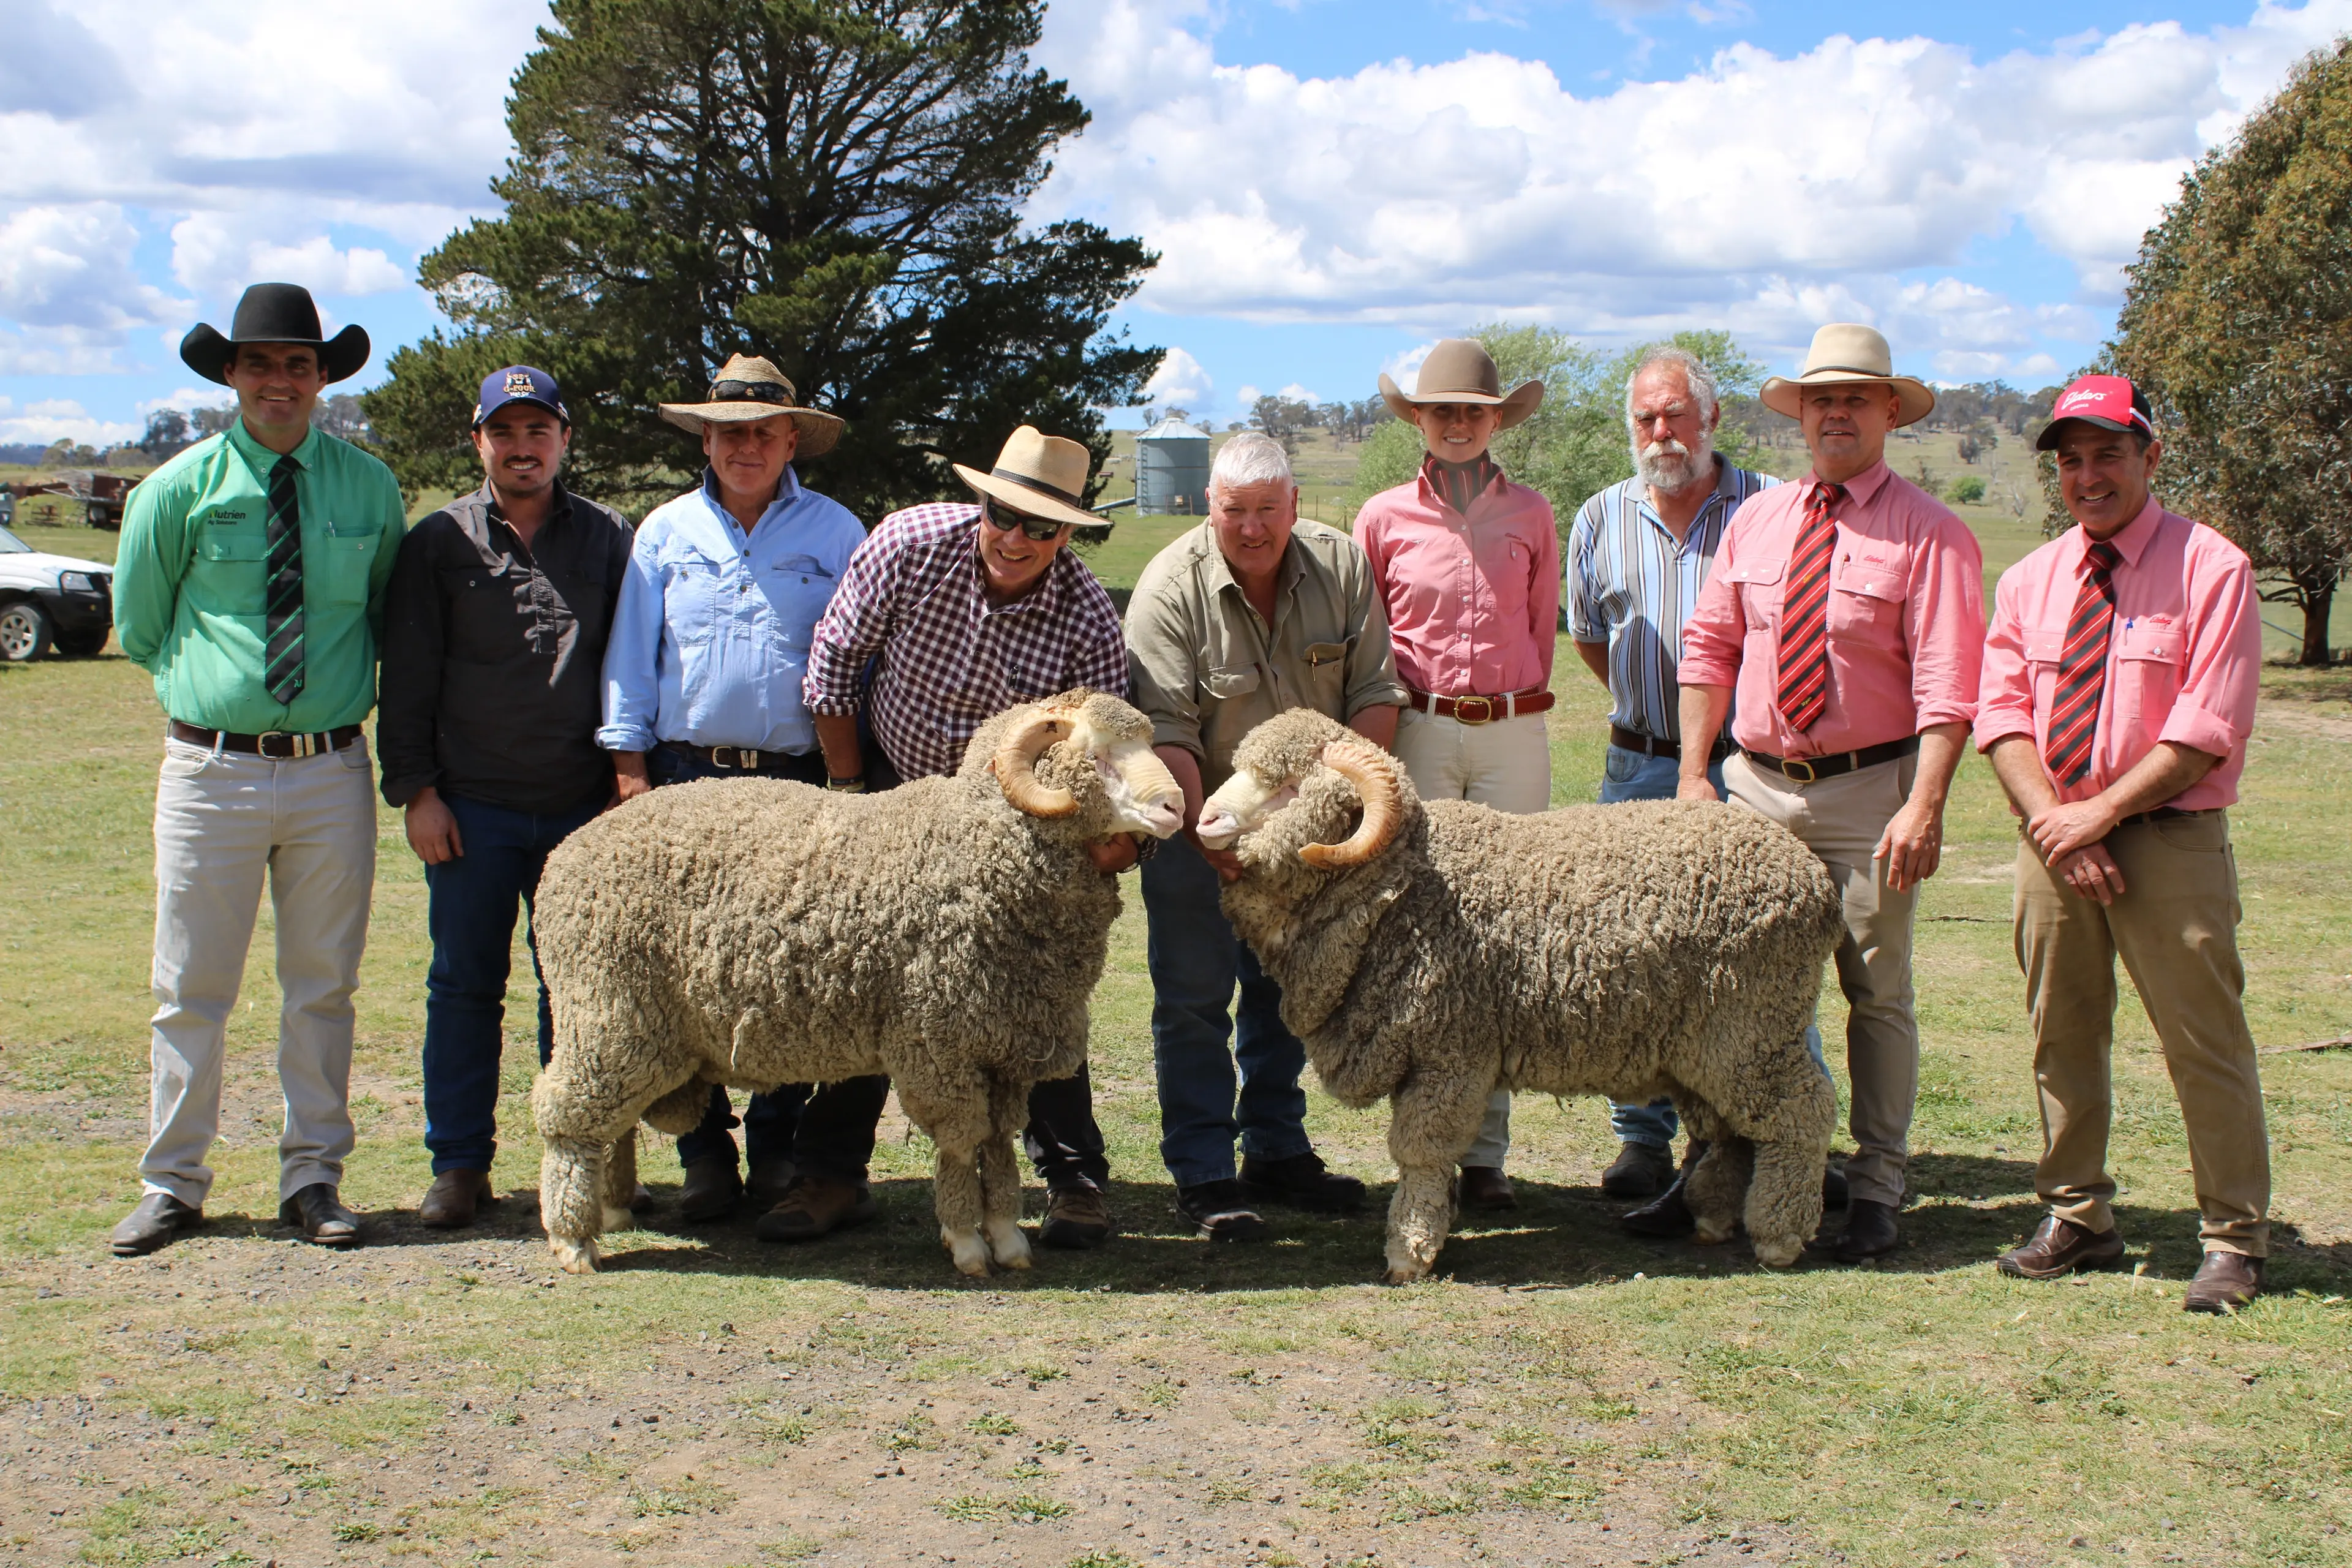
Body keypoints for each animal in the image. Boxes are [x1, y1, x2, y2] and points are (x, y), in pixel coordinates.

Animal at [528, 690, 1183, 1278]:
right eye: (1096, 754)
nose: (1176, 805)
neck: (971, 850)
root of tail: (568, 852)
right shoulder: (938, 1043)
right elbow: (960, 1142)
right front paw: (966, 1241)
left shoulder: (1003, 1046)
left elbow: (997, 1145)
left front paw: (1005, 1236)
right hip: (610, 1008)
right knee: (567, 1114)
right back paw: (573, 1239)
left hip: (633, 1026)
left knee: (612, 1121)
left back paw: (612, 1208)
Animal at [1193, 708, 1844, 1282]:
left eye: (1288, 787)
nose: (1204, 821)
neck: (1403, 888)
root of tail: (1813, 878)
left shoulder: (1450, 1052)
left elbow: (1420, 1151)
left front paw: (1411, 1250)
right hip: (1706, 1044)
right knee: (1733, 1130)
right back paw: (1711, 1218)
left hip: (1753, 1024)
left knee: (1801, 1112)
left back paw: (1781, 1235)